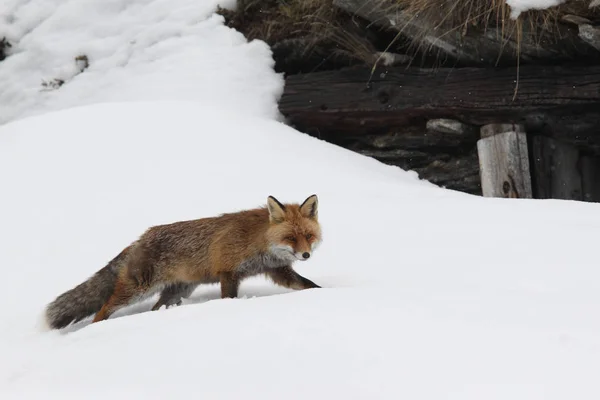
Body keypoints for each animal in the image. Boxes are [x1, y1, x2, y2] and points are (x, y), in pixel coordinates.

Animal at [44, 194, 322, 328]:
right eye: (290, 237)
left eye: (308, 236)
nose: (306, 255)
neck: (260, 241)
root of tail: (140, 238)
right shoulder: (228, 271)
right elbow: (229, 297)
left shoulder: (277, 271)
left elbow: (308, 285)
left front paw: (326, 293)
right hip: (137, 290)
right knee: (103, 309)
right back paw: (96, 328)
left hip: (176, 292)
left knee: (156, 309)